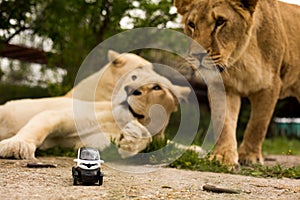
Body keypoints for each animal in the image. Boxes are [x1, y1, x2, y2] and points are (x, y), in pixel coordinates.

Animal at [0, 58, 191, 159]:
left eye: (157, 87)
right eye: (134, 77)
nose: (129, 88)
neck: (118, 122)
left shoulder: (89, 143)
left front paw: (133, 139)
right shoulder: (58, 115)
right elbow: (38, 128)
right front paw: (16, 146)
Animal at [173, 0, 300, 166]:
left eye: (220, 22)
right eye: (192, 24)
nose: (197, 55)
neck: (240, 59)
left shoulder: (270, 85)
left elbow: (258, 124)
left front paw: (250, 157)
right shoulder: (222, 86)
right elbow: (224, 122)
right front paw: (222, 157)